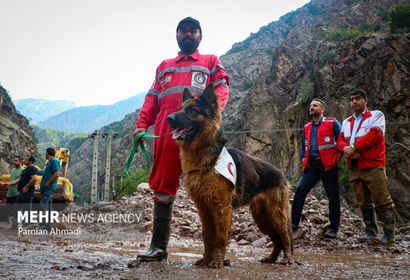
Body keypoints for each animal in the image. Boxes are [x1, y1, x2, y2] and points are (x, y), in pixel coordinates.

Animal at [166, 84, 292, 268]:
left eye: (192, 110)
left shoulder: (222, 207)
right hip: (262, 217)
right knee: (276, 239)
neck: (207, 161)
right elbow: (208, 237)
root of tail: (282, 174)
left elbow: (219, 238)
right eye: (181, 108)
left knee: (285, 236)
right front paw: (206, 259)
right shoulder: (204, 208)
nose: (168, 118)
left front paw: (217, 261)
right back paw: (271, 258)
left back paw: (287, 258)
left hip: (274, 214)